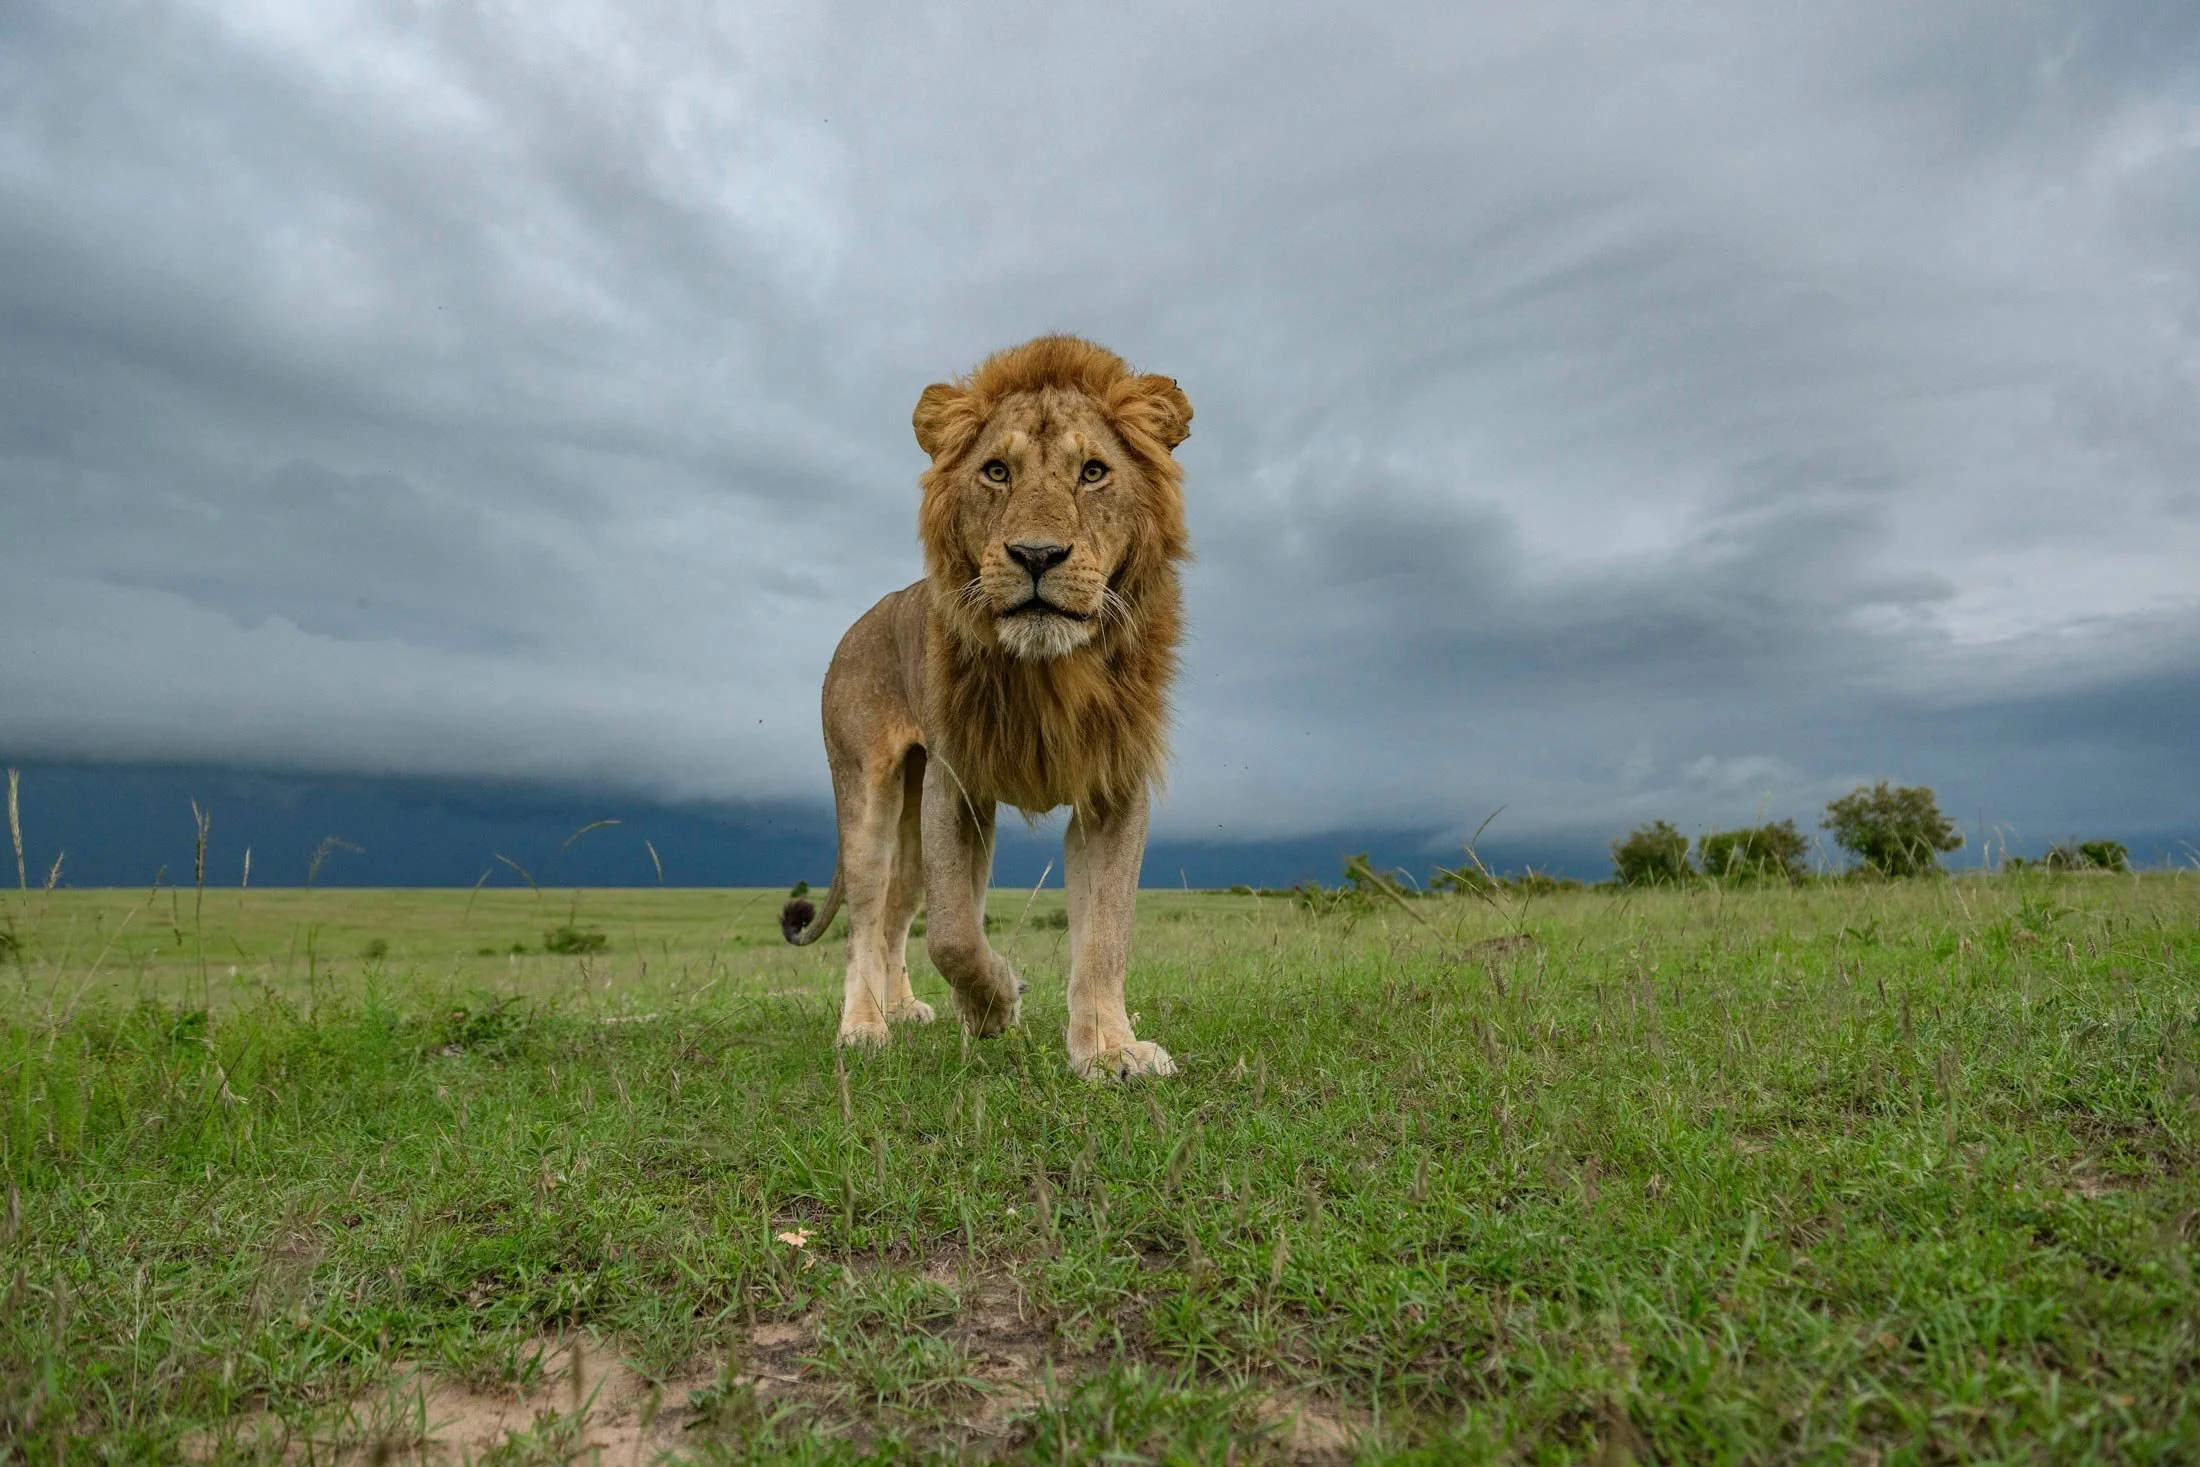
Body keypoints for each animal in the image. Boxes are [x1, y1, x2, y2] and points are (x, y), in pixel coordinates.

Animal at [779, 335, 1192, 1079]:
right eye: (997, 471)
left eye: (1093, 472)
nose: (1036, 554)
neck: (1051, 671)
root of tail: (858, 624)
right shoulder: (959, 784)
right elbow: (954, 933)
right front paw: (997, 1004)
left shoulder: (1112, 788)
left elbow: (1106, 933)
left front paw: (1111, 1050)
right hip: (868, 792)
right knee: (865, 919)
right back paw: (865, 1027)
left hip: (911, 816)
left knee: (895, 910)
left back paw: (904, 1009)